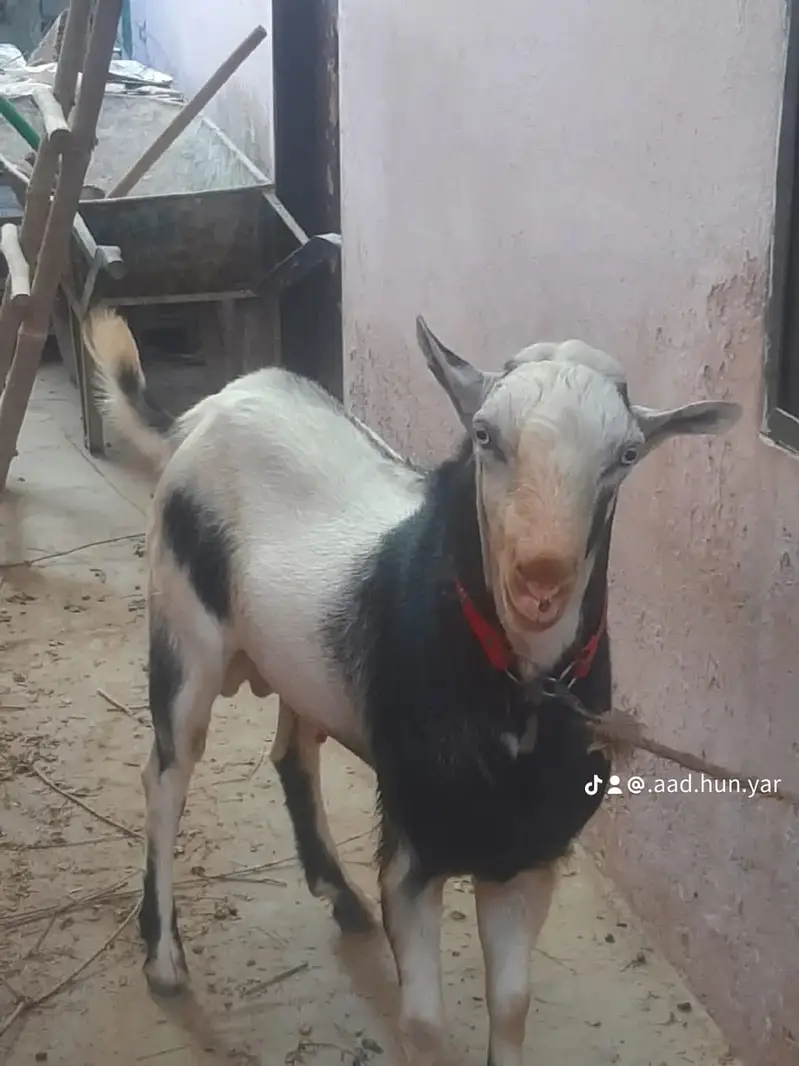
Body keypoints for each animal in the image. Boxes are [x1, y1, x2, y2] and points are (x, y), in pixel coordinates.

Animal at [85, 306, 740, 1066]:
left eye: (627, 454)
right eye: (484, 435)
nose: (539, 581)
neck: (516, 695)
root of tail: (201, 414)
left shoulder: (527, 857)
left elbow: (511, 1007)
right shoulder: (412, 848)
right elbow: (424, 1024)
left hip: (301, 665)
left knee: (291, 751)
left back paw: (339, 895)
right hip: (183, 632)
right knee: (166, 775)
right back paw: (164, 960)